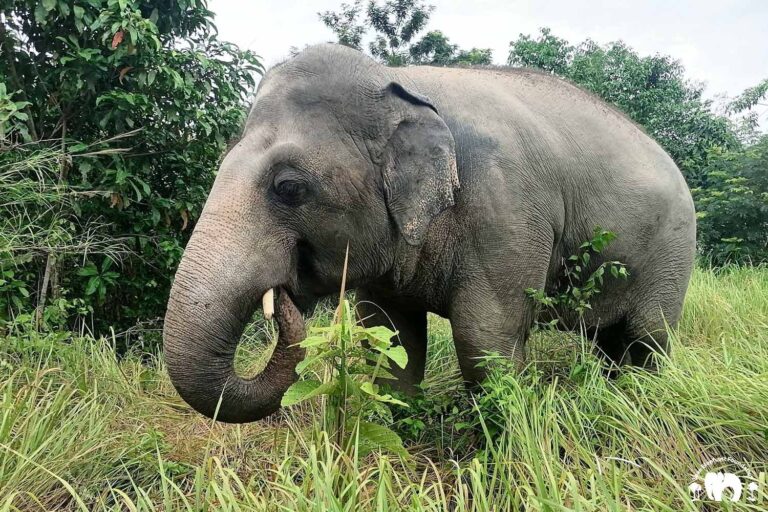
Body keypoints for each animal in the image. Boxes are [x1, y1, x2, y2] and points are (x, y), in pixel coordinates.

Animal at [165, 44, 700, 422]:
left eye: (289, 188)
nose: (283, 301)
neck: (401, 81)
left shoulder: (507, 211)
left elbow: (485, 339)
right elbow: (389, 338)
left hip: (673, 252)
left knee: (649, 338)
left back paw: (641, 398)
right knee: (611, 341)